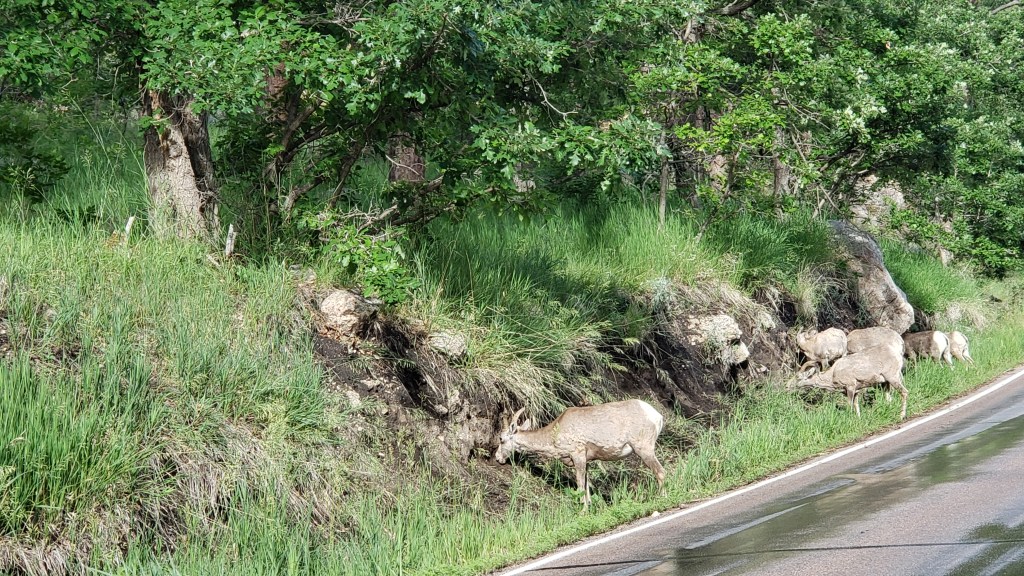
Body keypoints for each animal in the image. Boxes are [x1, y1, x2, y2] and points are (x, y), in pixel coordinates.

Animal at [494, 399, 666, 510]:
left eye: (501, 439)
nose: (497, 457)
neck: (555, 435)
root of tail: (657, 416)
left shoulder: (577, 454)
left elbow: (580, 484)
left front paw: (583, 511)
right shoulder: (587, 460)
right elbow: (587, 485)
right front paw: (589, 507)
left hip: (644, 448)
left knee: (660, 472)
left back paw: (660, 498)